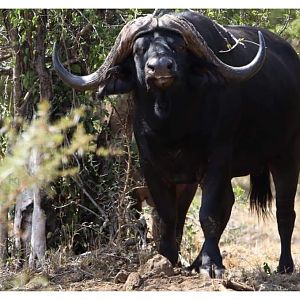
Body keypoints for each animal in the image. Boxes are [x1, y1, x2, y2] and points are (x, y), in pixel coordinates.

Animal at [53, 10, 300, 278]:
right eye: (139, 49)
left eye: (179, 47)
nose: (160, 67)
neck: (172, 127)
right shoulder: (154, 169)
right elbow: (168, 217)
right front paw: (168, 258)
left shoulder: (216, 162)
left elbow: (208, 214)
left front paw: (211, 263)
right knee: (228, 203)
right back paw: (195, 261)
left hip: (286, 156)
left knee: (284, 211)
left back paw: (285, 265)